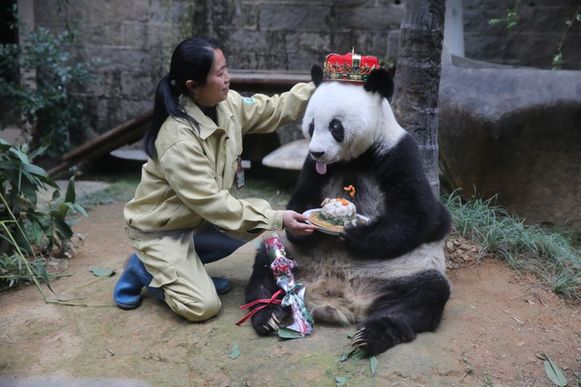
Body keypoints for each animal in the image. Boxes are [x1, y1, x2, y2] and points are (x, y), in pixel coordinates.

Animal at [242, 63, 450, 358]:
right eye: (311, 125)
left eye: (335, 126)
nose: (318, 152)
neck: (355, 157)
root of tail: (338, 297)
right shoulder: (313, 168)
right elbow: (302, 198)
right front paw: (303, 227)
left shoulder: (397, 153)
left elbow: (422, 215)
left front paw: (356, 234)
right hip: (293, 259)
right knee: (264, 265)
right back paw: (267, 314)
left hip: (404, 268)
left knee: (423, 296)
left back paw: (373, 334)